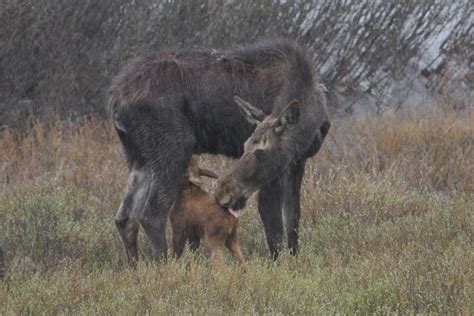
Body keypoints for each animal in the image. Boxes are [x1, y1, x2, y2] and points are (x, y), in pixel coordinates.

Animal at [108, 39, 330, 264]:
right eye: (246, 145)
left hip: (139, 158)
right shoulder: (276, 172)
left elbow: (293, 221)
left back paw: (136, 268)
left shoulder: (297, 163)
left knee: (125, 217)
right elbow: (274, 226)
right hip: (172, 150)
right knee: (152, 215)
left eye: (259, 151)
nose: (224, 190)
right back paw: (165, 266)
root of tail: (116, 102)